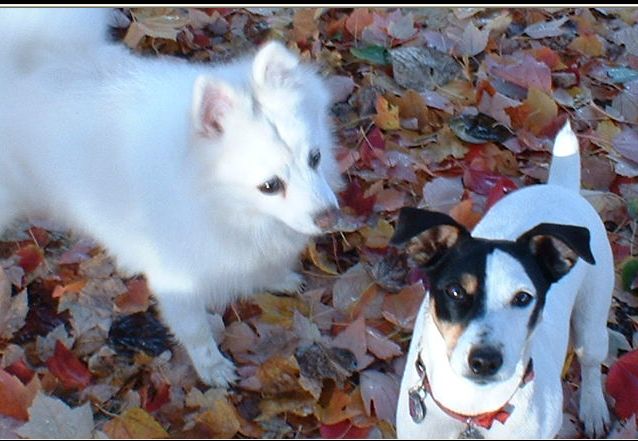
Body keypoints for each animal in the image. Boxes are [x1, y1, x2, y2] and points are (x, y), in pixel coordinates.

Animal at [0, 8, 342, 387]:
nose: (330, 217)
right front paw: (212, 368)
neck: (218, 202)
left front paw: (277, 278)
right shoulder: (178, 278)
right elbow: (196, 331)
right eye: (270, 185)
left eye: (315, 158)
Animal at [391, 121, 612, 438]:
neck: (472, 411)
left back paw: (594, 407)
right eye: (455, 291)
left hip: (592, 317)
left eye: (523, 298)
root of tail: (560, 188)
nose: (485, 361)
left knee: (592, 362)